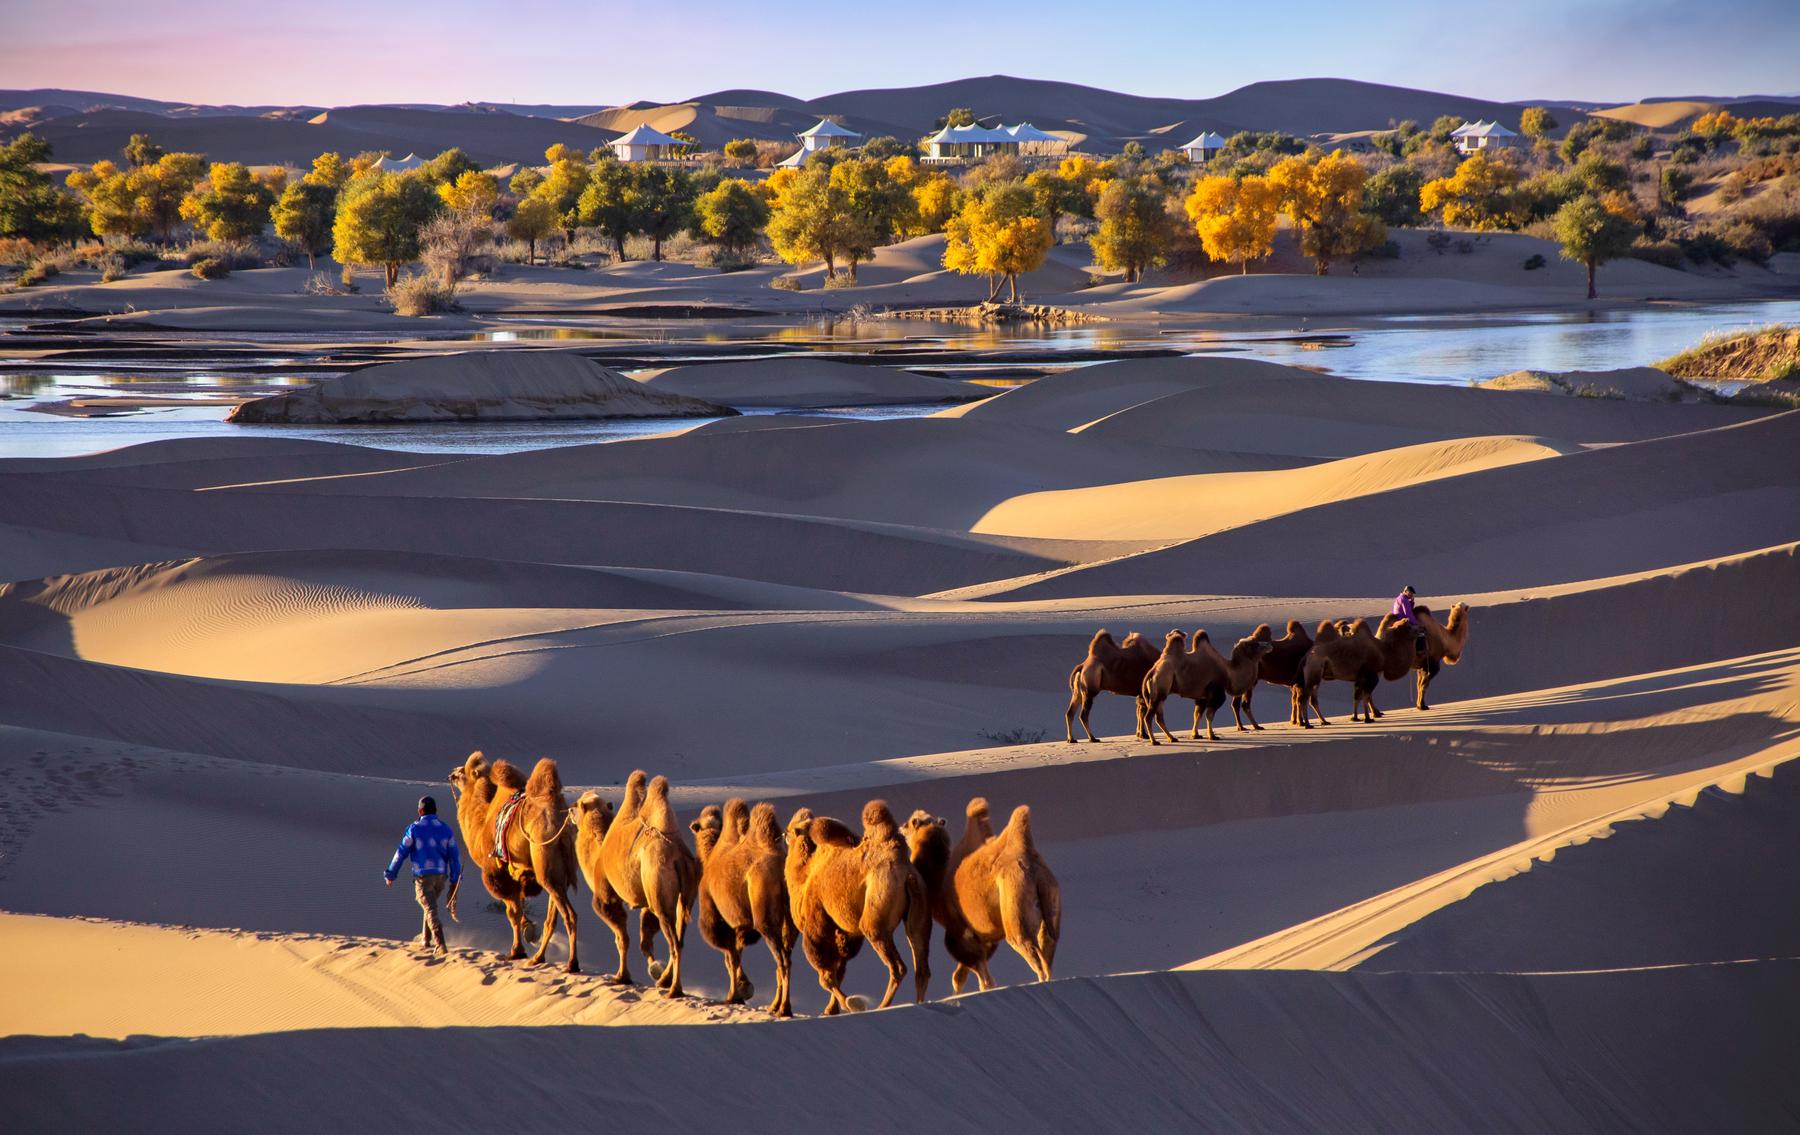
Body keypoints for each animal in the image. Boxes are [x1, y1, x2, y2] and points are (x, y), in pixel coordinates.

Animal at [444, 751, 576, 971]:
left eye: (464, 771)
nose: (452, 772)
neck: (481, 823)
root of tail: (561, 826)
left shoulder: (497, 874)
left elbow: (512, 913)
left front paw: (516, 951)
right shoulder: (519, 874)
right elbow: (519, 909)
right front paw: (528, 933)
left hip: (545, 865)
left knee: (569, 915)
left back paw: (572, 963)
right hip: (559, 874)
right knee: (552, 917)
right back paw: (538, 957)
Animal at [594, 769, 698, 1000]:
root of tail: (678, 855)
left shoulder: (606, 895)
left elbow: (621, 937)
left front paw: (621, 977)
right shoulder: (647, 902)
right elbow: (644, 941)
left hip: (660, 892)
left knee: (675, 945)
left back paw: (674, 990)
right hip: (682, 896)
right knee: (680, 938)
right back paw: (665, 981)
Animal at [694, 798, 795, 1021]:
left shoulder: (717, 917)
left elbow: (730, 958)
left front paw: (734, 995)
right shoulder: (741, 925)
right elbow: (736, 954)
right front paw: (743, 989)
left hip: (765, 919)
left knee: (782, 960)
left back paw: (784, 1008)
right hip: (791, 921)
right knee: (786, 958)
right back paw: (775, 1006)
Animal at [784, 798, 928, 1014]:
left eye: (791, 829)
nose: (783, 834)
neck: (805, 876)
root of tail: (905, 871)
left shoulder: (817, 923)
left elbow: (826, 977)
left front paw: (851, 1004)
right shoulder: (845, 934)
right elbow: (839, 971)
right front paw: (831, 1009)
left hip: (875, 919)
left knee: (898, 966)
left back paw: (882, 1006)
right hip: (918, 908)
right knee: (921, 965)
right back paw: (918, 1003)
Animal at [1137, 629, 1281, 744]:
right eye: (1254, 644)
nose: (1269, 645)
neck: (1229, 672)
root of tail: (1151, 673)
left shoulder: (1202, 696)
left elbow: (1197, 714)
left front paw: (1196, 735)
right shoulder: (1217, 691)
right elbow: (1210, 714)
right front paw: (1212, 736)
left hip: (1159, 693)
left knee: (1159, 717)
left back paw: (1172, 738)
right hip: (1160, 688)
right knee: (1149, 716)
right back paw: (1154, 741)